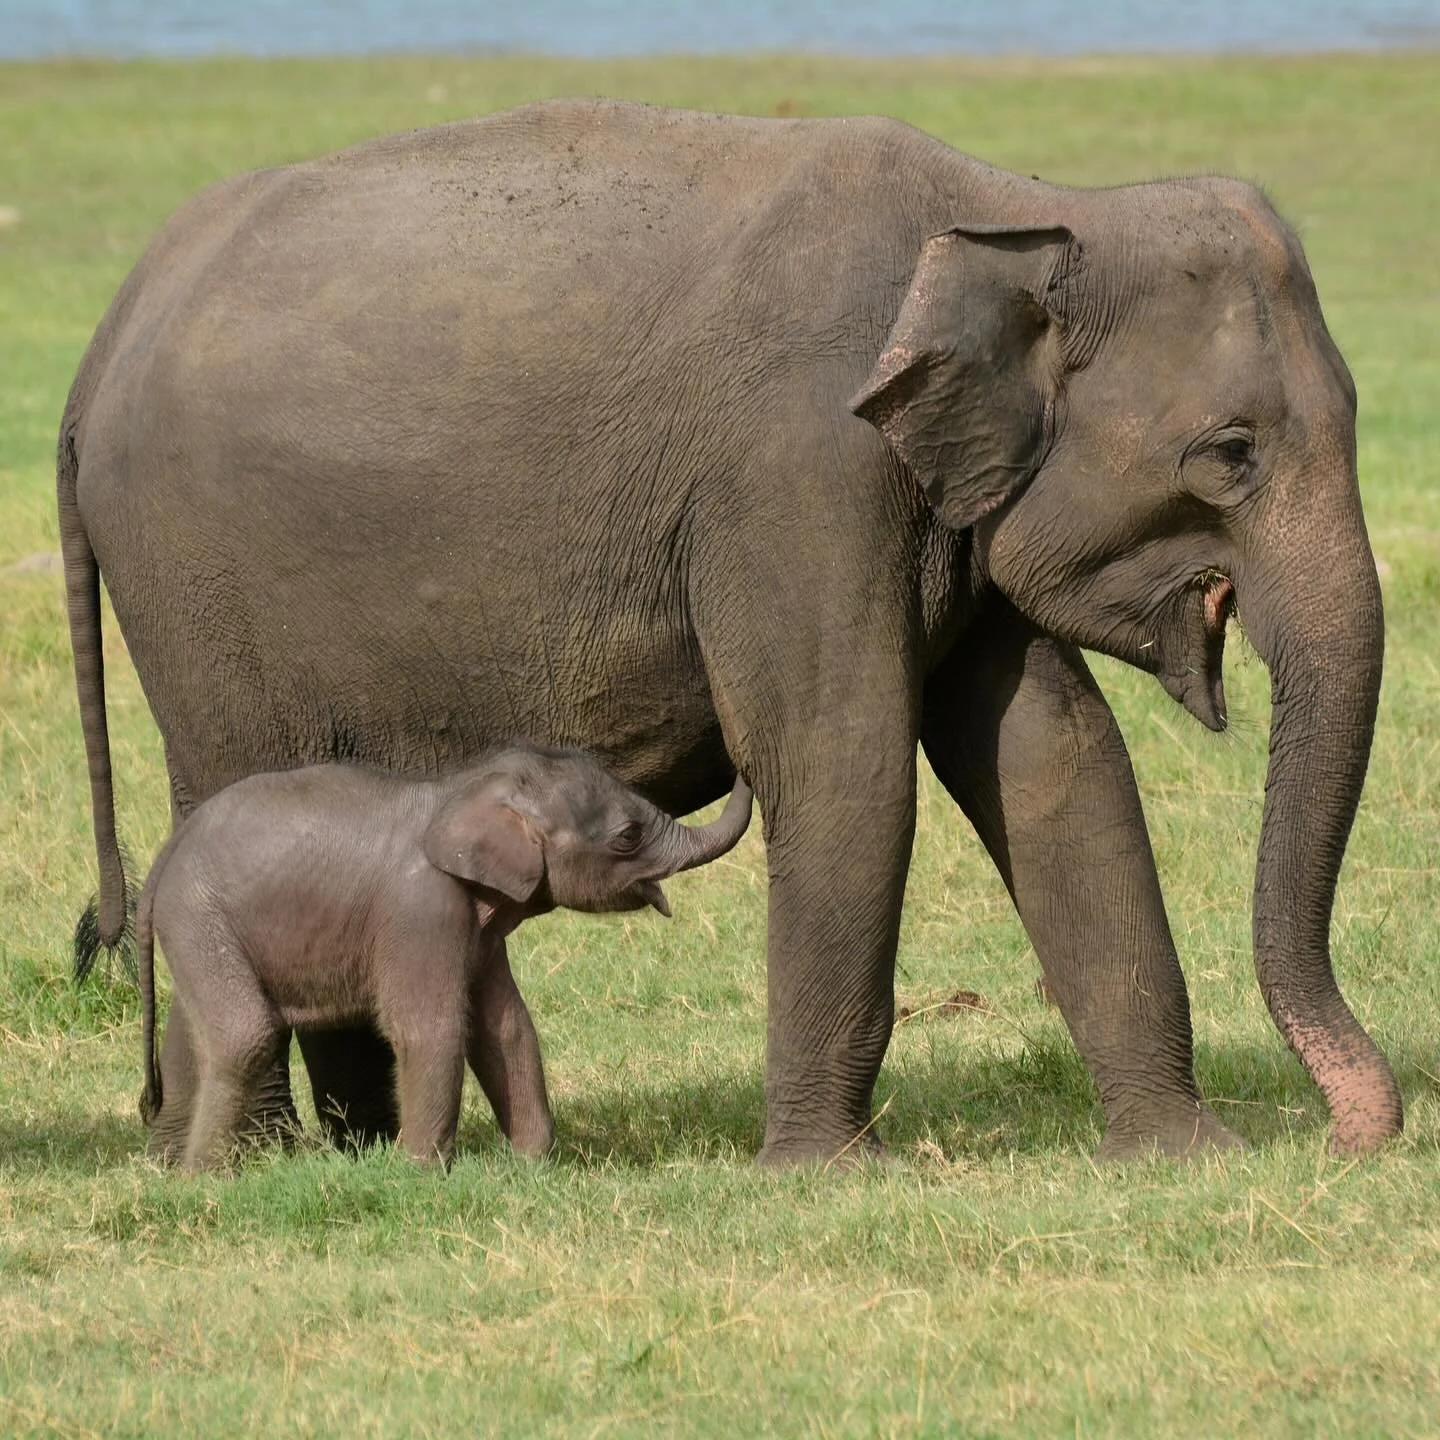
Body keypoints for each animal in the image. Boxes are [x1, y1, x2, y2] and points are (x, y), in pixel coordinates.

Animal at [120, 745, 753, 1171]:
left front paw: (532, 1167)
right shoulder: (422, 907)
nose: (741, 759)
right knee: (244, 1035)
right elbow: (431, 1027)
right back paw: (202, 1180)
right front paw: (420, 1174)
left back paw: (172, 1170)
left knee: (195, 1037)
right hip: (200, 917)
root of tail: (161, 864)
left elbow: (506, 1027)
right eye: (628, 837)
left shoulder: (479, 927)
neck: (461, 789)